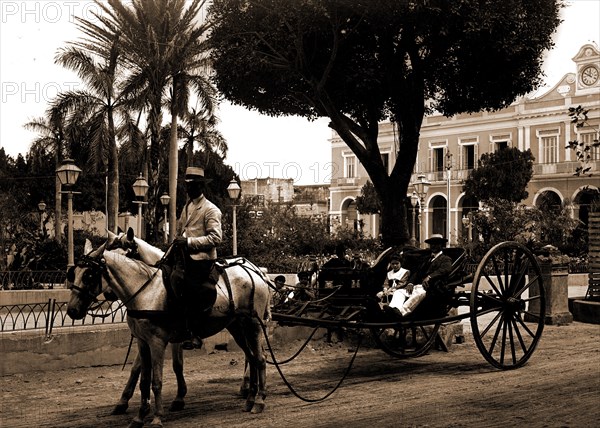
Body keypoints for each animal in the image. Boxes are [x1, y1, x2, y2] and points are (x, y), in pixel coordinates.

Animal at [67, 236, 270, 426]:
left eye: (89, 275)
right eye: (73, 273)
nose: (72, 310)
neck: (146, 292)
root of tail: (256, 272)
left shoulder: (157, 342)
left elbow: (157, 380)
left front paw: (157, 416)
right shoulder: (143, 342)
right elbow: (143, 378)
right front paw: (139, 416)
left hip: (253, 324)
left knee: (260, 359)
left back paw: (259, 400)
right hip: (237, 326)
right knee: (252, 357)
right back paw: (250, 398)